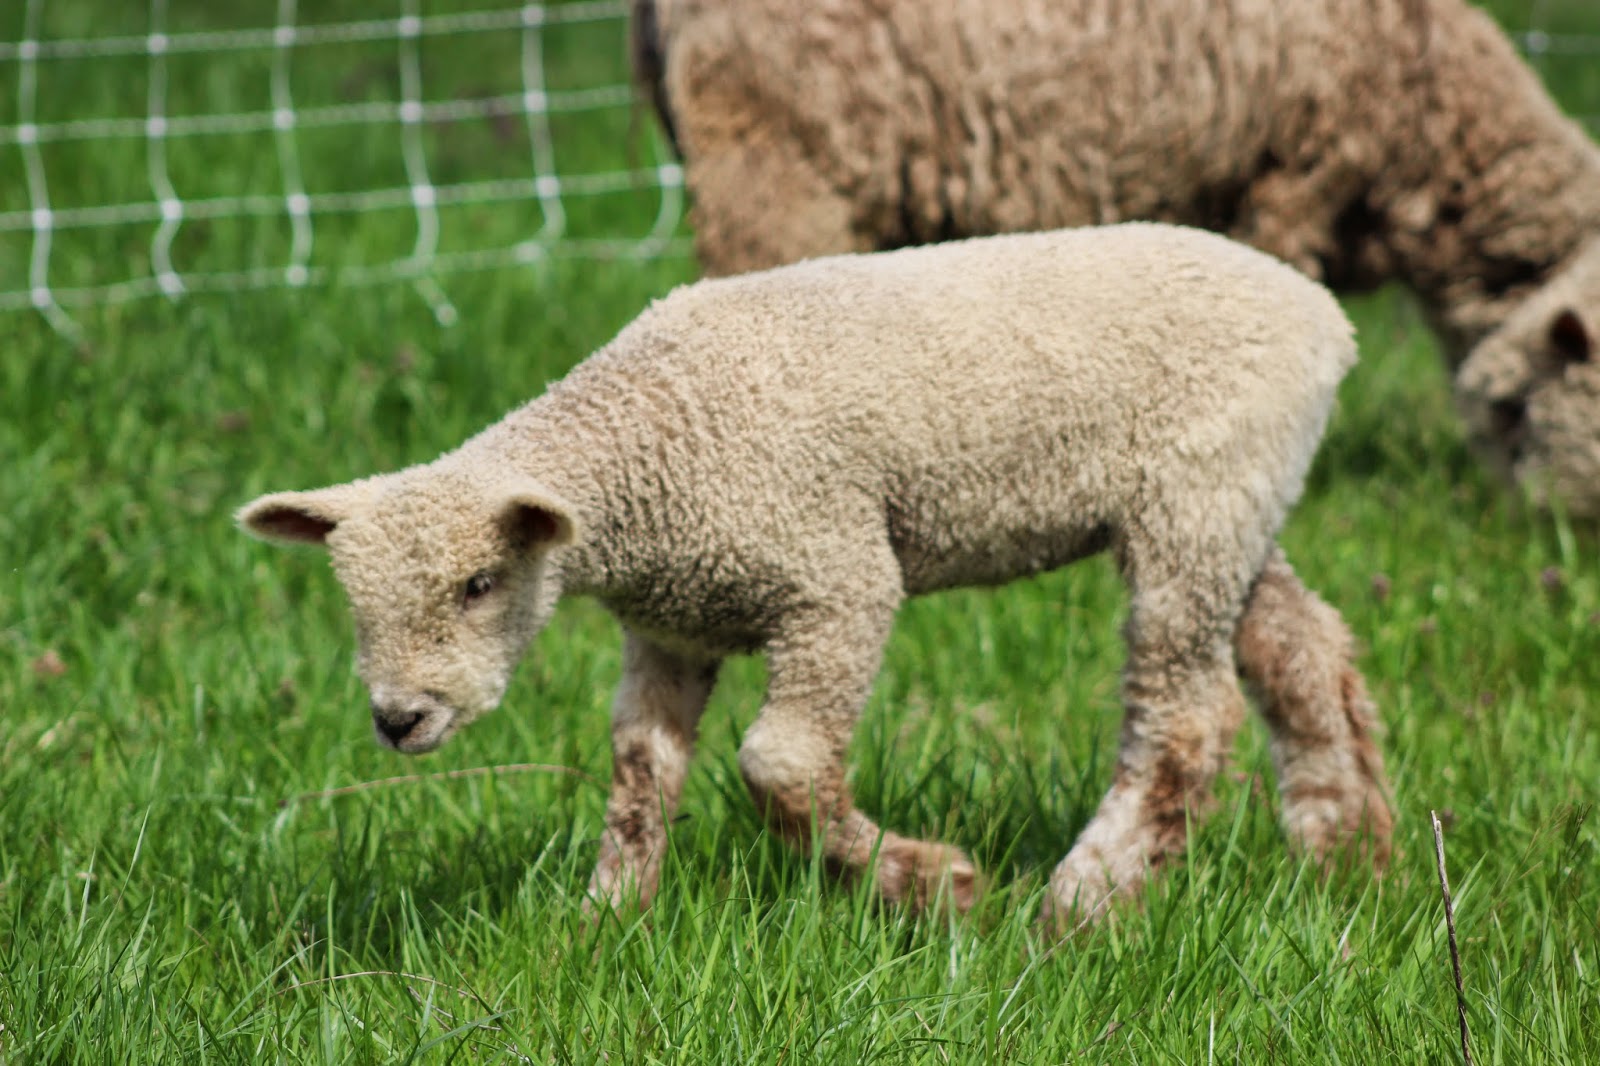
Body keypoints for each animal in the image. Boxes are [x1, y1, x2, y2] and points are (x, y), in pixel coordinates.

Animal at [239, 223, 1391, 925]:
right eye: (351, 602)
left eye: (480, 583)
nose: (398, 719)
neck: (649, 444)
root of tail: (1323, 316)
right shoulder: (674, 624)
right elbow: (640, 770)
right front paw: (607, 918)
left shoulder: (835, 579)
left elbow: (781, 765)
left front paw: (928, 883)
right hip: (1236, 497)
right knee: (1298, 648)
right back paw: (1347, 847)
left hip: (1198, 493)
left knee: (1185, 712)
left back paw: (1082, 903)